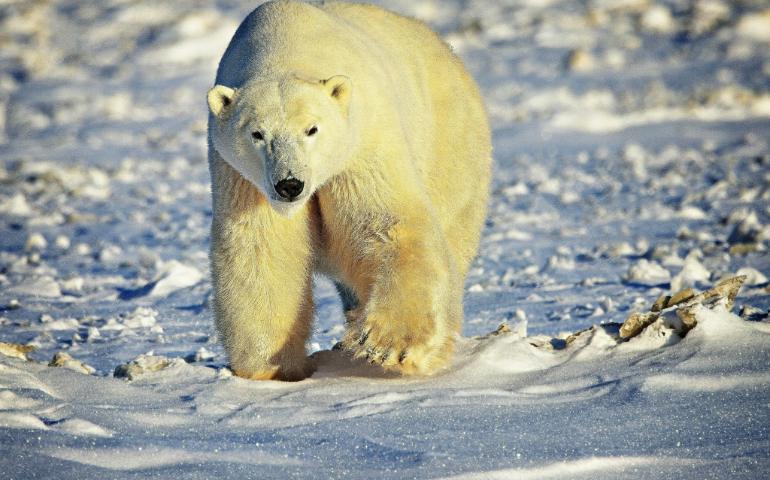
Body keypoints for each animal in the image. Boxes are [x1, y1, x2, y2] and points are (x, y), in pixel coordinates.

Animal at [207, 0, 491, 381]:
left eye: (312, 129)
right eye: (257, 134)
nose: (290, 185)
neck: (285, 45)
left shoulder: (362, 142)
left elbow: (385, 221)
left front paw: (390, 345)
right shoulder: (241, 177)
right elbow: (263, 248)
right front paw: (272, 366)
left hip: (450, 147)